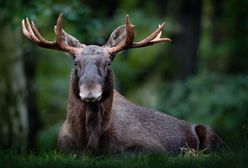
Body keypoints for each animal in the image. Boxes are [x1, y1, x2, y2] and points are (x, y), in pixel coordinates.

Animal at [22, 14, 224, 155]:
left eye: (108, 63)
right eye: (75, 63)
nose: (90, 93)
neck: (90, 140)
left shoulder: (155, 148)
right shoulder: (62, 149)